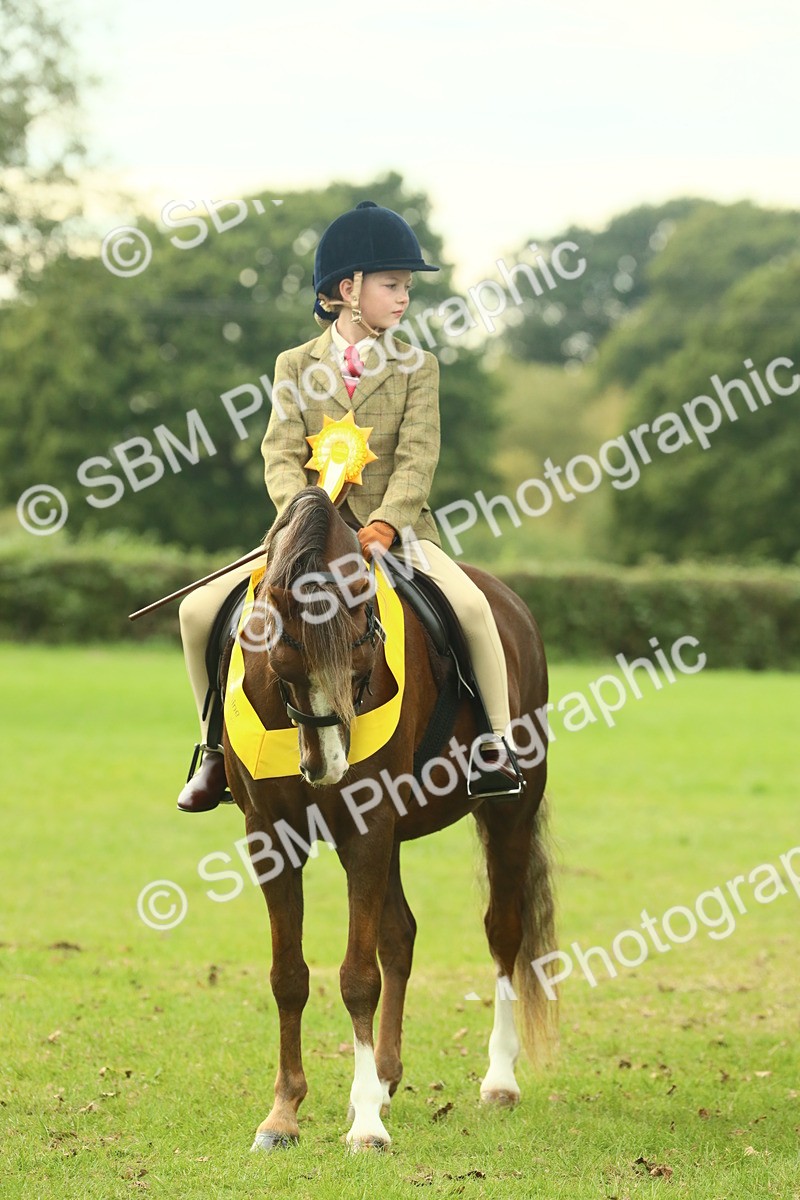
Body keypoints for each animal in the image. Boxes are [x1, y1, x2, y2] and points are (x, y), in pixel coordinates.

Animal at [222, 485, 555, 1153]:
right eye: (283, 663)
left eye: (361, 655)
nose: (324, 768)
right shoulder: (270, 835)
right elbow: (288, 975)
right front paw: (284, 1114)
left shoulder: (367, 826)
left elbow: (357, 976)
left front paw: (367, 1127)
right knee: (399, 935)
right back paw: (381, 1079)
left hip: (507, 812)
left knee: (502, 932)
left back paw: (497, 1081)